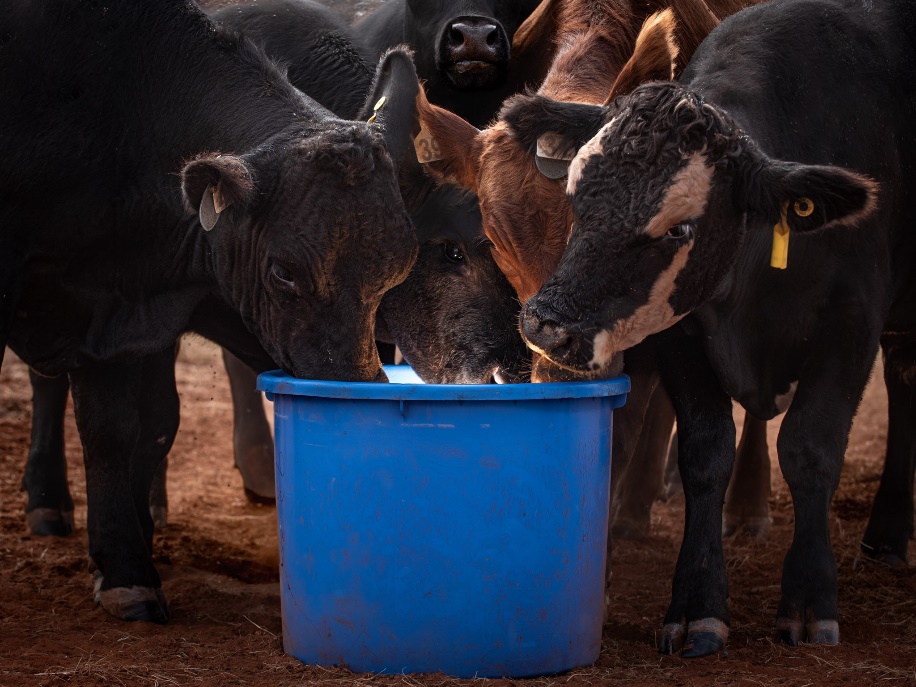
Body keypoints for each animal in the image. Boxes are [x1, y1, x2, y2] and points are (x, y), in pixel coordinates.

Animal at [1, 0, 419, 623]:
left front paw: (127, 569)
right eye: (283, 273)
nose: (350, 383)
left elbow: (116, 429)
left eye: (398, 267)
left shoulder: (111, 311)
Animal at [518, 0, 916, 657]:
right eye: (576, 198)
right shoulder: (680, 332)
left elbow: (809, 449)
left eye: (680, 229)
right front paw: (697, 604)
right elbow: (706, 454)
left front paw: (810, 599)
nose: (548, 327)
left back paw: (889, 535)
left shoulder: (853, 320)